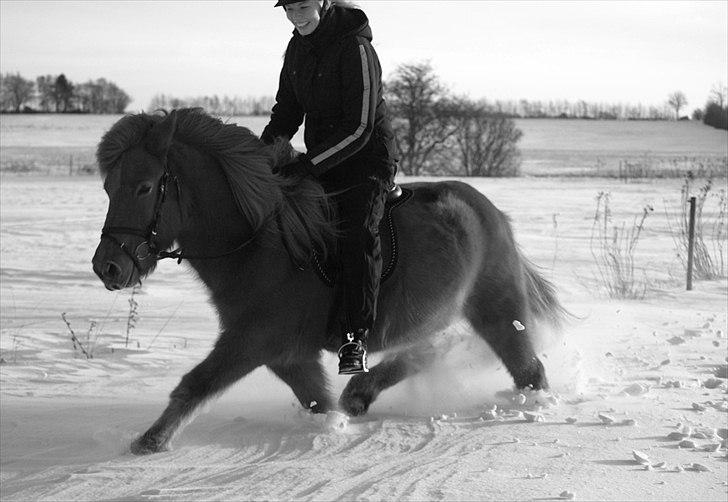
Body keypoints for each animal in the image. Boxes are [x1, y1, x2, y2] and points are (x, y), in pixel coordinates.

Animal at [91, 109, 564, 454]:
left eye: (145, 187)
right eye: (109, 187)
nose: (107, 267)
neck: (260, 242)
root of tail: (492, 212)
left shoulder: (252, 340)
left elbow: (196, 384)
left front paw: (149, 442)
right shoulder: (287, 354)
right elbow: (318, 401)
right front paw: (337, 423)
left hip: (497, 308)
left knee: (528, 369)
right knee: (427, 351)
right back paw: (360, 393)